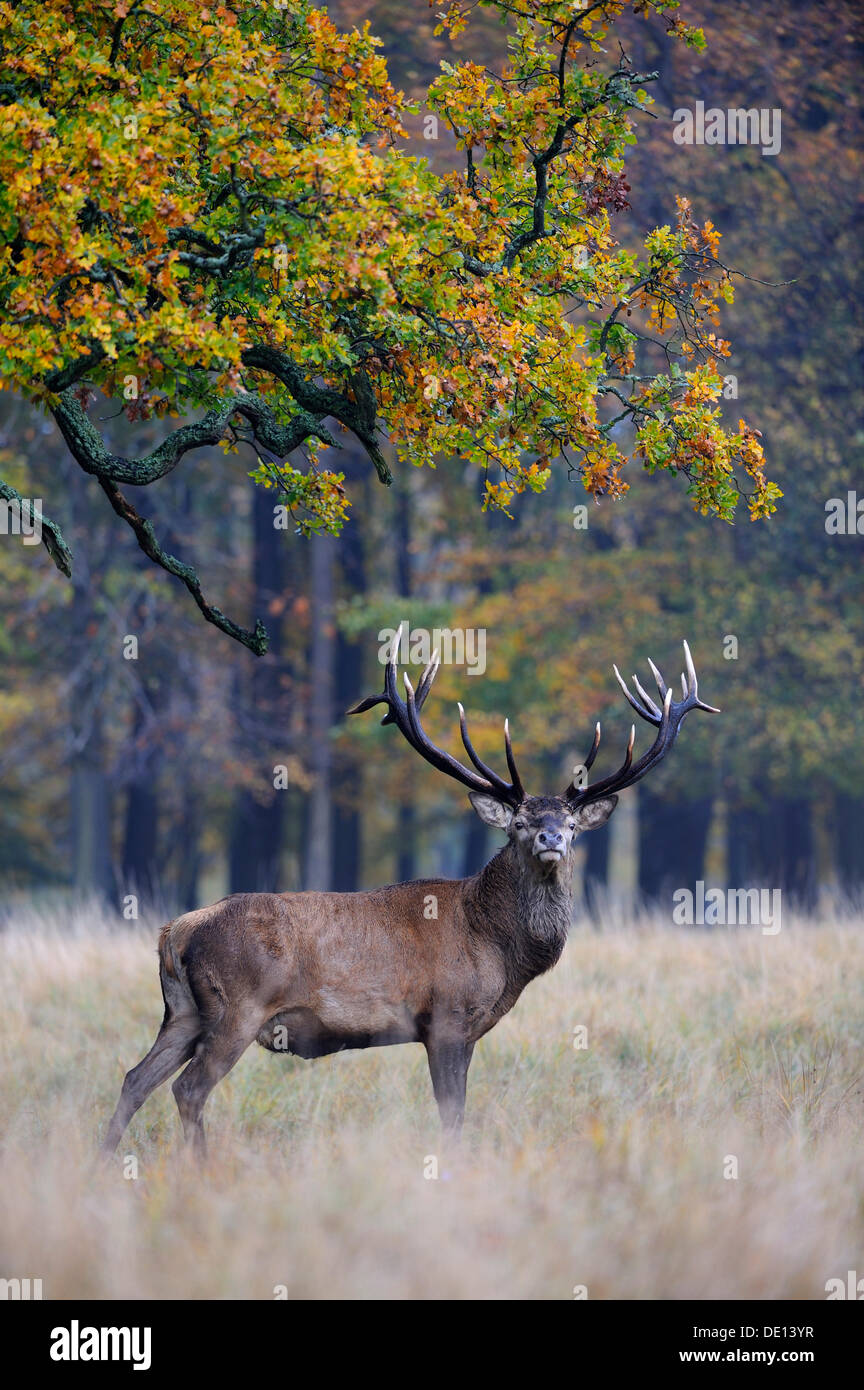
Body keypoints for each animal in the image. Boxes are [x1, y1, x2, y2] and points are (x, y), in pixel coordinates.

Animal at [100, 636, 716, 1156]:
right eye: (519, 822)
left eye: (569, 822)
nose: (551, 839)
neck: (497, 949)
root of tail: (175, 931)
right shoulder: (445, 1018)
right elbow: (452, 1114)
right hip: (237, 1009)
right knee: (188, 1090)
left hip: (182, 1012)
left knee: (134, 1079)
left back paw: (102, 1163)